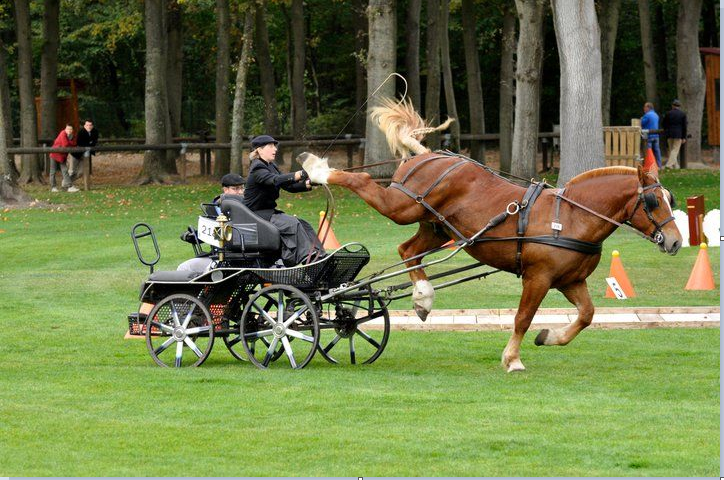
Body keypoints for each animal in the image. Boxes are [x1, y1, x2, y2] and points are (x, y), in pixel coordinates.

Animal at [298, 106, 680, 372]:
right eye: (652, 202)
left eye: (670, 198)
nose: (675, 241)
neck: (571, 217)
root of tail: (426, 154)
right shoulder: (538, 278)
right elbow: (523, 317)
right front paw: (513, 359)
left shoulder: (571, 280)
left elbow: (586, 315)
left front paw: (549, 336)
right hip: (402, 206)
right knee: (364, 184)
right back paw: (317, 169)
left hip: (436, 228)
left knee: (408, 250)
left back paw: (423, 298)